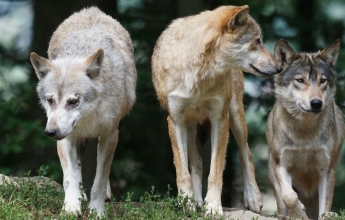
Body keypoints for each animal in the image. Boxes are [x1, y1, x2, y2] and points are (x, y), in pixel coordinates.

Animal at [28, 6, 136, 217]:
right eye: (50, 100)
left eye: (73, 101)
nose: (50, 132)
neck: (88, 117)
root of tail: (91, 9)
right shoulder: (65, 137)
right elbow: (69, 177)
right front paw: (71, 207)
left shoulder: (111, 134)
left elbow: (100, 179)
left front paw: (97, 211)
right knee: (77, 166)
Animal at [152, 4, 280, 215]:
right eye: (257, 41)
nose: (279, 67)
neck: (198, 73)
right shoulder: (175, 121)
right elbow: (183, 171)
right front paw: (186, 203)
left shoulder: (220, 119)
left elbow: (216, 171)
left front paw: (212, 207)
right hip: (189, 126)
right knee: (197, 163)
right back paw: (196, 201)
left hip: (236, 117)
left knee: (246, 153)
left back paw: (253, 198)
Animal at [264, 38, 342, 219]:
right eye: (300, 80)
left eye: (322, 80)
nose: (316, 103)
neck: (305, 134)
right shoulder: (281, 165)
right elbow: (289, 196)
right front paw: (299, 213)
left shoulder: (326, 170)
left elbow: (324, 208)